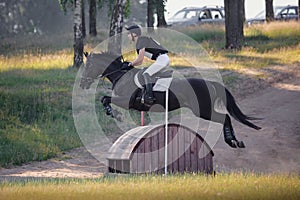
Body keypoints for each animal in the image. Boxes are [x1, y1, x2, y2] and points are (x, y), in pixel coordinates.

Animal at [79, 51, 260, 148]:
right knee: (226, 117)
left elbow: (105, 99)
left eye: (88, 66)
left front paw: (114, 114)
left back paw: (232, 141)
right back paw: (235, 142)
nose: (82, 84)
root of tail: (210, 83)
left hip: (202, 109)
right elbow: (104, 99)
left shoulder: (127, 101)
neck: (121, 75)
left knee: (225, 117)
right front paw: (113, 114)